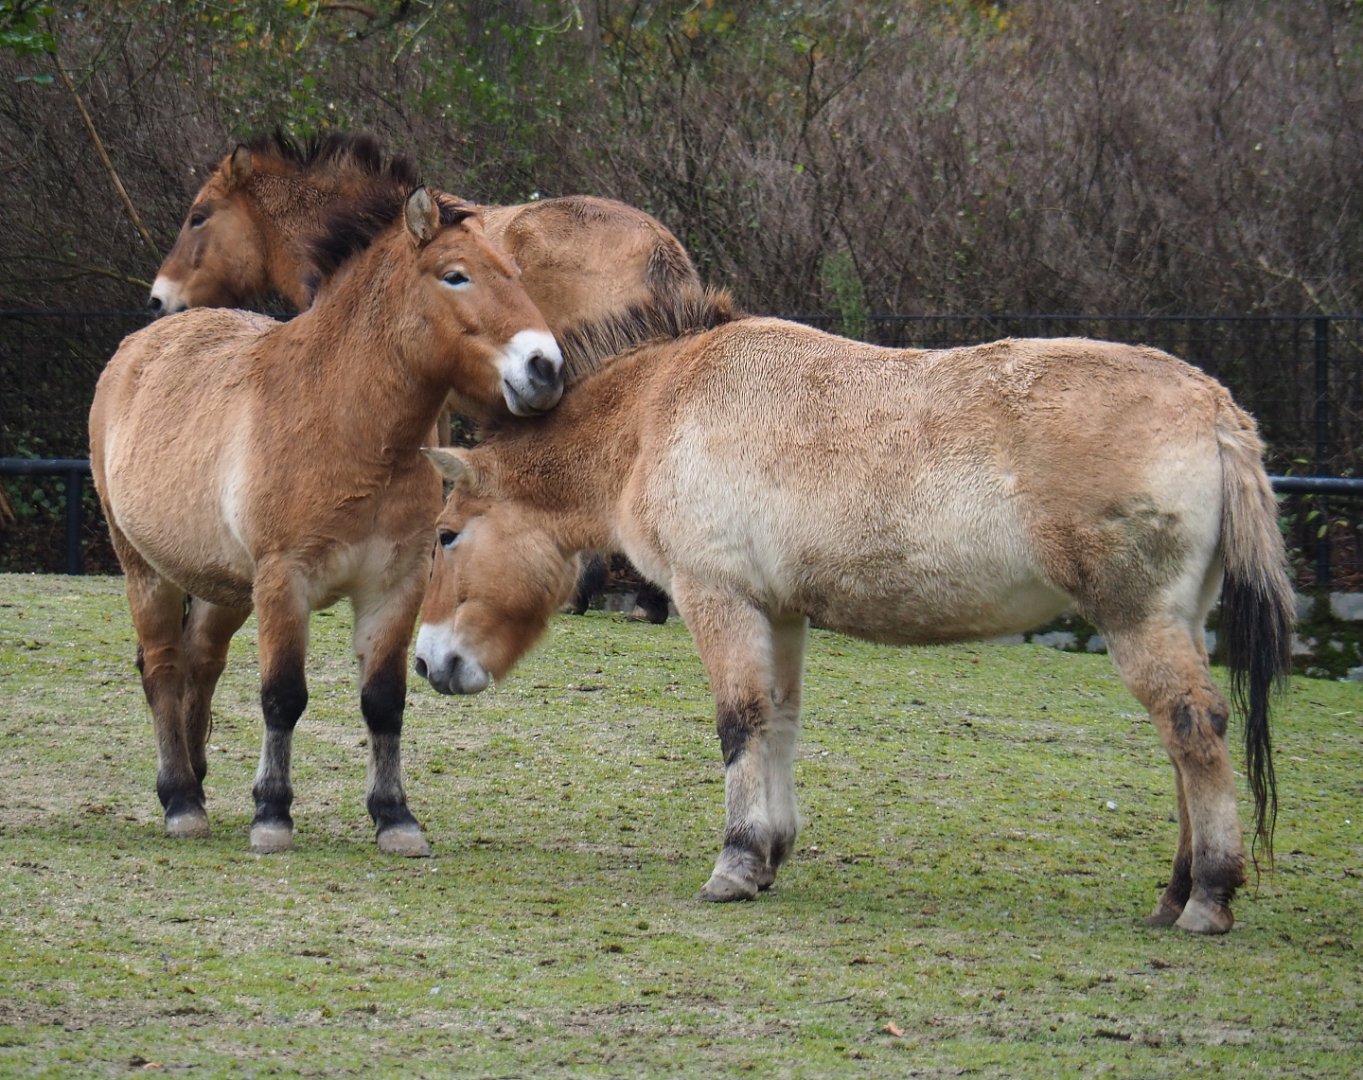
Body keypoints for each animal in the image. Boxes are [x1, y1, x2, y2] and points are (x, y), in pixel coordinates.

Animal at [90, 184, 563, 856]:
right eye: (456, 276)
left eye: (516, 276)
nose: (545, 369)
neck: (345, 424)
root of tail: (137, 347)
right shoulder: (285, 581)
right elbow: (282, 696)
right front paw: (272, 815)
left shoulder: (396, 586)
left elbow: (384, 700)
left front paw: (395, 818)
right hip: (146, 572)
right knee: (163, 667)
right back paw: (180, 800)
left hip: (226, 588)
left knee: (201, 662)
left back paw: (198, 780)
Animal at [412, 289, 1295, 934]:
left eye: (447, 535)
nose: (426, 661)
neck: (659, 410)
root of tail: (1212, 406)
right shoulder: (778, 613)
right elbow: (777, 722)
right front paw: (769, 855)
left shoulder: (716, 597)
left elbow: (738, 721)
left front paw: (734, 864)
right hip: (1170, 622)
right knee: (1183, 743)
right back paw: (1174, 895)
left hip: (1136, 622)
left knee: (1192, 729)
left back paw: (1207, 899)